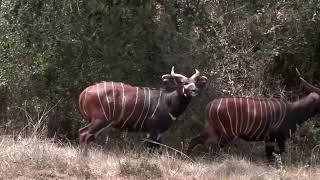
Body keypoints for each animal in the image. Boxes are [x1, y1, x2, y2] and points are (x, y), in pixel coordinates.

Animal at [188, 70, 320, 159]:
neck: (293, 111)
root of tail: (209, 106)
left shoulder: (271, 139)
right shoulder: (276, 137)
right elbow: (276, 153)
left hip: (213, 129)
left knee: (195, 140)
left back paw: (188, 156)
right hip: (225, 133)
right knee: (214, 146)